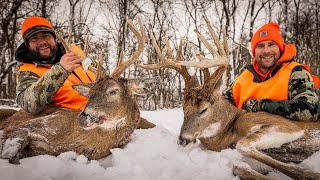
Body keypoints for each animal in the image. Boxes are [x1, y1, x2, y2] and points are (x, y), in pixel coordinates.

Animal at [139, 16, 320, 179]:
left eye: (203, 109)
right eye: (184, 109)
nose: (182, 139)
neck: (228, 133)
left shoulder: (288, 126)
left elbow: (243, 144)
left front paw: (309, 173)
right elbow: (239, 167)